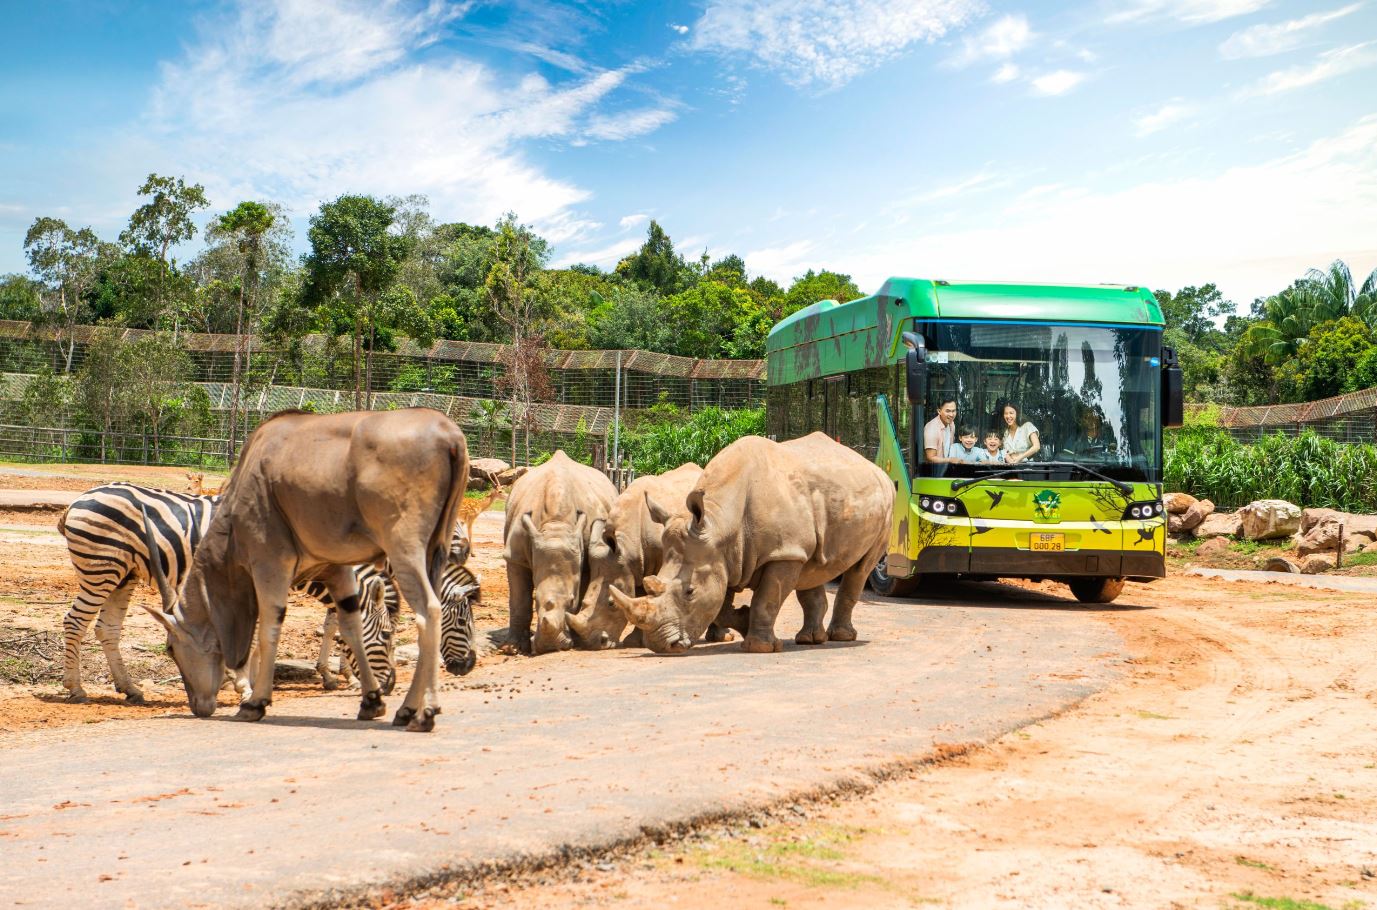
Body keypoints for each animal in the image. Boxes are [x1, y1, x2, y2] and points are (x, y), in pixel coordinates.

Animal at [56, 483, 396, 704]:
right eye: (388, 636)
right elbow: (259, 636)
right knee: (75, 622)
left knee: (107, 628)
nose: (390, 687)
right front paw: (245, 685)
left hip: (124, 573)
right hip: (102, 567)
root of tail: (79, 499)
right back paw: (76, 689)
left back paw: (130, 689)